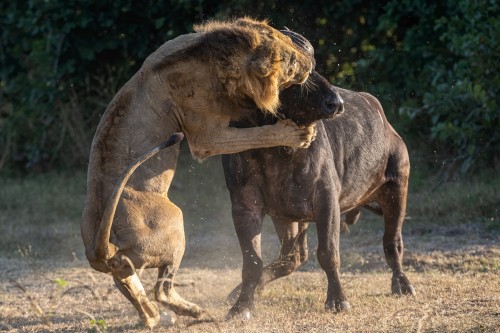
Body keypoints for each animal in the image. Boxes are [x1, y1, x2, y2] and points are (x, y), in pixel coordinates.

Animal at [81, 17, 316, 326]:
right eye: (290, 60)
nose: (311, 59)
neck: (218, 53)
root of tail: (101, 247)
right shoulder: (207, 138)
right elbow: (255, 135)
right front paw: (296, 133)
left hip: (123, 266)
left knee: (130, 286)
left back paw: (155, 318)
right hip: (175, 223)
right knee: (162, 289)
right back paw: (198, 312)